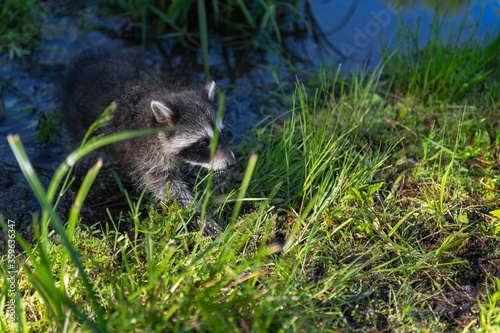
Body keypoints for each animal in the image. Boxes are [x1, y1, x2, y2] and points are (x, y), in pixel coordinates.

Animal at [61, 53, 237, 237]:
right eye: (203, 142)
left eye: (221, 133)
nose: (232, 163)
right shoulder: (145, 152)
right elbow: (166, 186)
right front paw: (197, 211)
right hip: (79, 128)